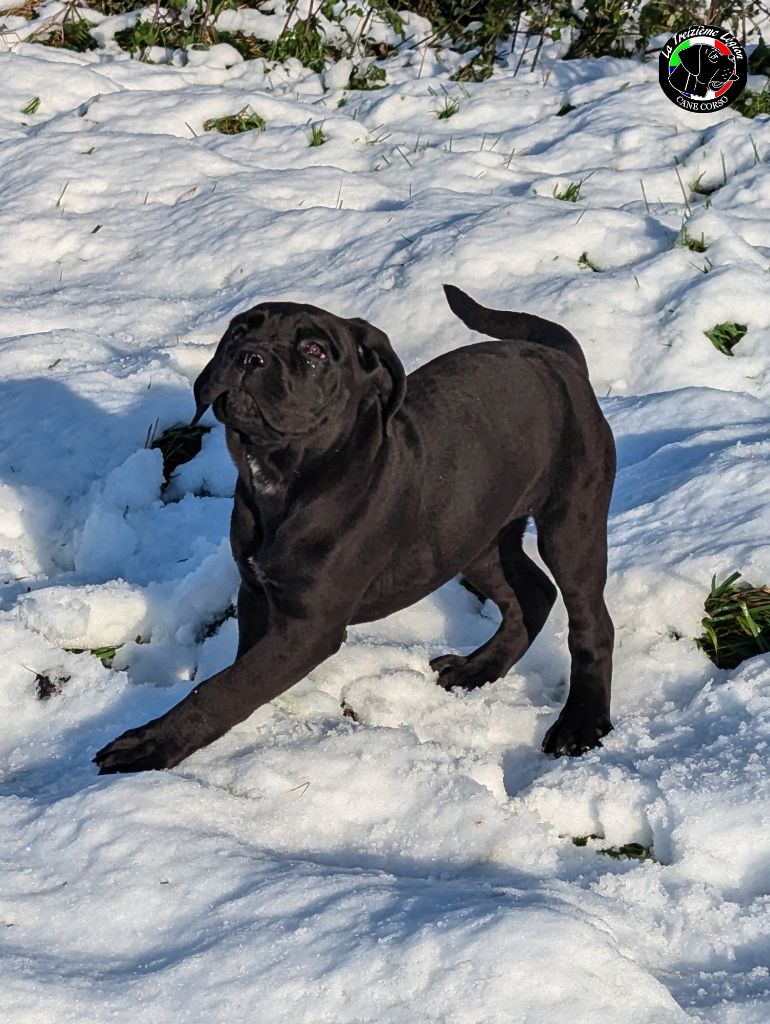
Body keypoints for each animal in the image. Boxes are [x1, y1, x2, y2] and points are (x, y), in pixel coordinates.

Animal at [94, 284, 614, 770]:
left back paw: (581, 724)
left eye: (315, 351)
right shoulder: (257, 590)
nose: (249, 357)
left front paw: (149, 743)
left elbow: (224, 688)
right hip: (470, 535)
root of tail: (561, 359)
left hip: (571, 522)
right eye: (239, 332)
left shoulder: (309, 624)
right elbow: (241, 671)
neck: (285, 478)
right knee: (532, 593)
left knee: (590, 622)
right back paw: (478, 669)